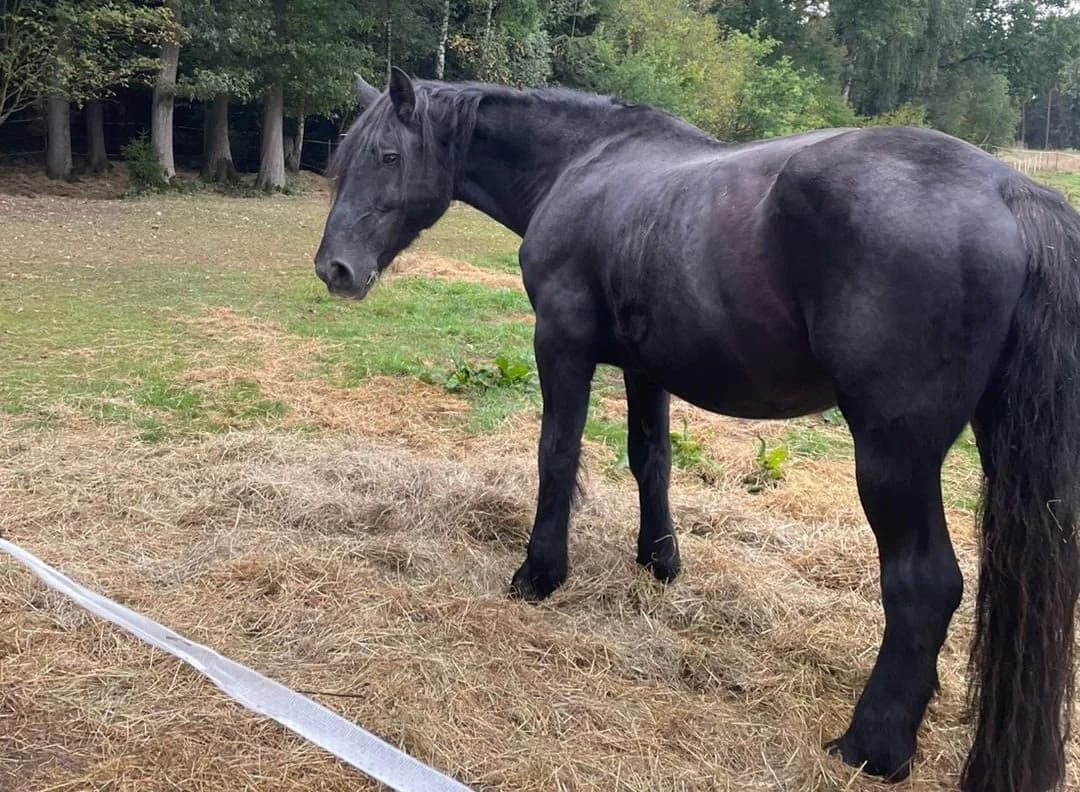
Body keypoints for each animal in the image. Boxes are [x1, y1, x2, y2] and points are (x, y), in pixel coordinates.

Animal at [315, 68, 1080, 791]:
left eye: (387, 155)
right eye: (343, 161)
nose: (334, 269)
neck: (584, 163)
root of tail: (1010, 191)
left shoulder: (562, 346)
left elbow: (557, 455)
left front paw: (540, 573)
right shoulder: (644, 366)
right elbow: (649, 460)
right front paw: (659, 561)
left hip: (894, 456)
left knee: (925, 585)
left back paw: (873, 746)